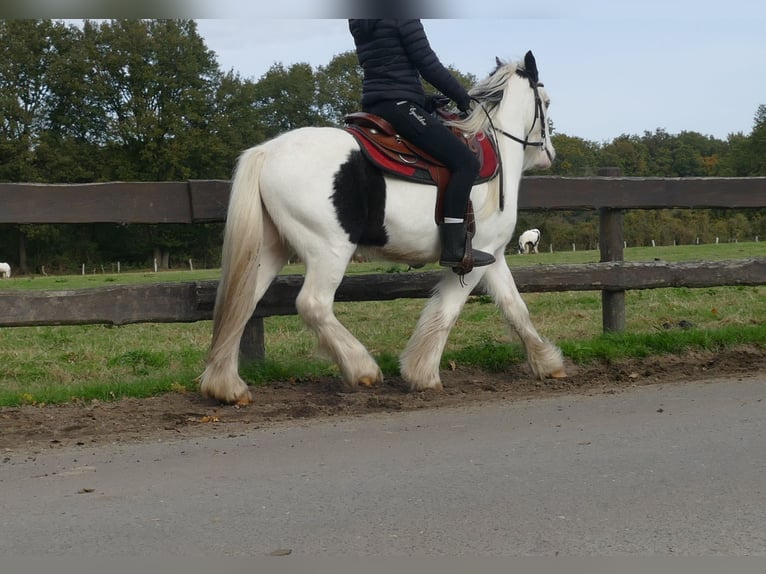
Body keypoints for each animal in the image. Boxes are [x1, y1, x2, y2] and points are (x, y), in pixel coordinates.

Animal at [201, 53, 568, 404]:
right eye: (547, 102)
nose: (549, 153)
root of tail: (266, 151)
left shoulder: (492, 256)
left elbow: (515, 308)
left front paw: (547, 363)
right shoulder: (473, 259)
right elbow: (448, 312)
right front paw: (424, 374)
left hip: (270, 249)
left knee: (241, 304)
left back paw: (226, 386)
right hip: (329, 250)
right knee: (313, 304)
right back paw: (361, 367)